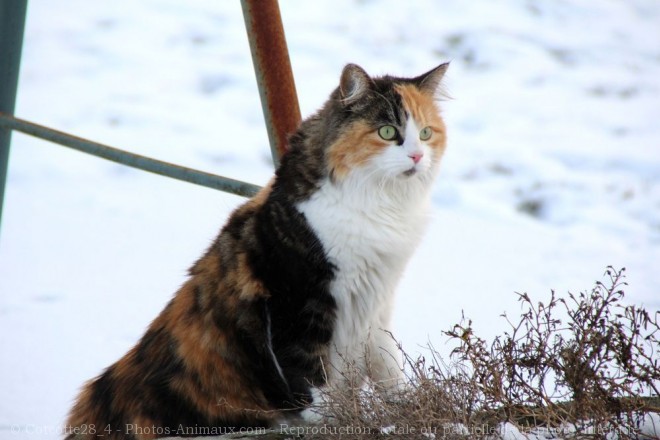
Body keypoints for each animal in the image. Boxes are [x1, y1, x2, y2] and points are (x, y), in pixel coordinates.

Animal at [65, 61, 448, 436]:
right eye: (387, 132)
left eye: (426, 133)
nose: (417, 156)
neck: (380, 207)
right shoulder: (295, 308)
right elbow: (316, 390)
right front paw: (339, 422)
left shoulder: (376, 305)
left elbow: (389, 369)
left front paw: (403, 411)